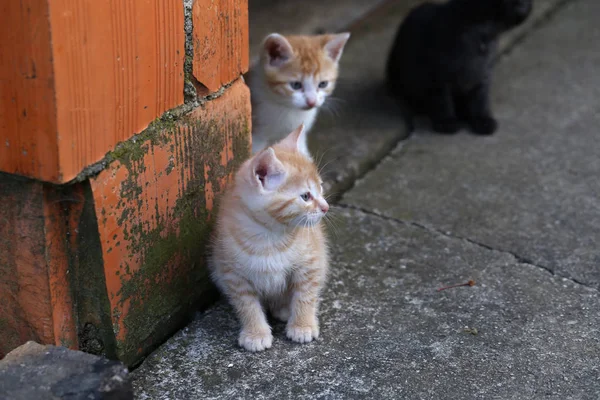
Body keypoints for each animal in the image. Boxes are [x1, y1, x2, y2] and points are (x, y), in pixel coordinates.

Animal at [210, 123, 332, 352]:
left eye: (321, 187)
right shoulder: (233, 274)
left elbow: (305, 295)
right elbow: (247, 305)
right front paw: (256, 333)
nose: (325, 207)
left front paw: (302, 325)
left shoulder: (310, 263)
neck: (269, 236)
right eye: (305, 196)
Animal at [390, 0, 536, 135]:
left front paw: (481, 120)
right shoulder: (438, 78)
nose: (525, 4)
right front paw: (447, 122)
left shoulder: (483, 75)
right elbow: (443, 101)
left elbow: (480, 100)